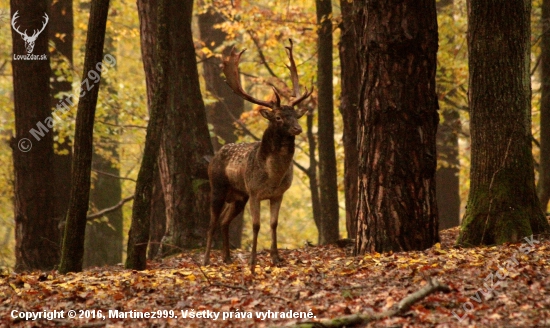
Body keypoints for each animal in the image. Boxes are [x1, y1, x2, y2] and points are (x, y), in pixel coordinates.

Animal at [204, 39, 314, 272]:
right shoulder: (254, 192)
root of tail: (214, 157)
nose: (298, 128)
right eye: (279, 117)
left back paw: (227, 258)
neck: (273, 176)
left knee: (224, 221)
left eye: (296, 115)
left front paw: (276, 258)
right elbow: (256, 225)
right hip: (217, 187)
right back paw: (206, 259)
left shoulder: (278, 194)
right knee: (212, 222)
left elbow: (273, 224)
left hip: (239, 196)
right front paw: (253, 262)